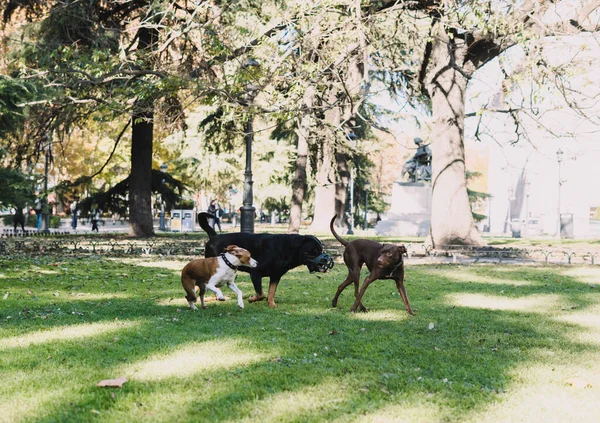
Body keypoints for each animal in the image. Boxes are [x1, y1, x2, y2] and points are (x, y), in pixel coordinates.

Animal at [200, 212, 332, 308]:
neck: (286, 249)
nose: (325, 259)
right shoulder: (256, 273)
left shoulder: (276, 276)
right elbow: (261, 294)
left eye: (321, 250)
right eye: (315, 251)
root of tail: (214, 236)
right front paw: (251, 299)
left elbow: (271, 292)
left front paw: (272, 304)